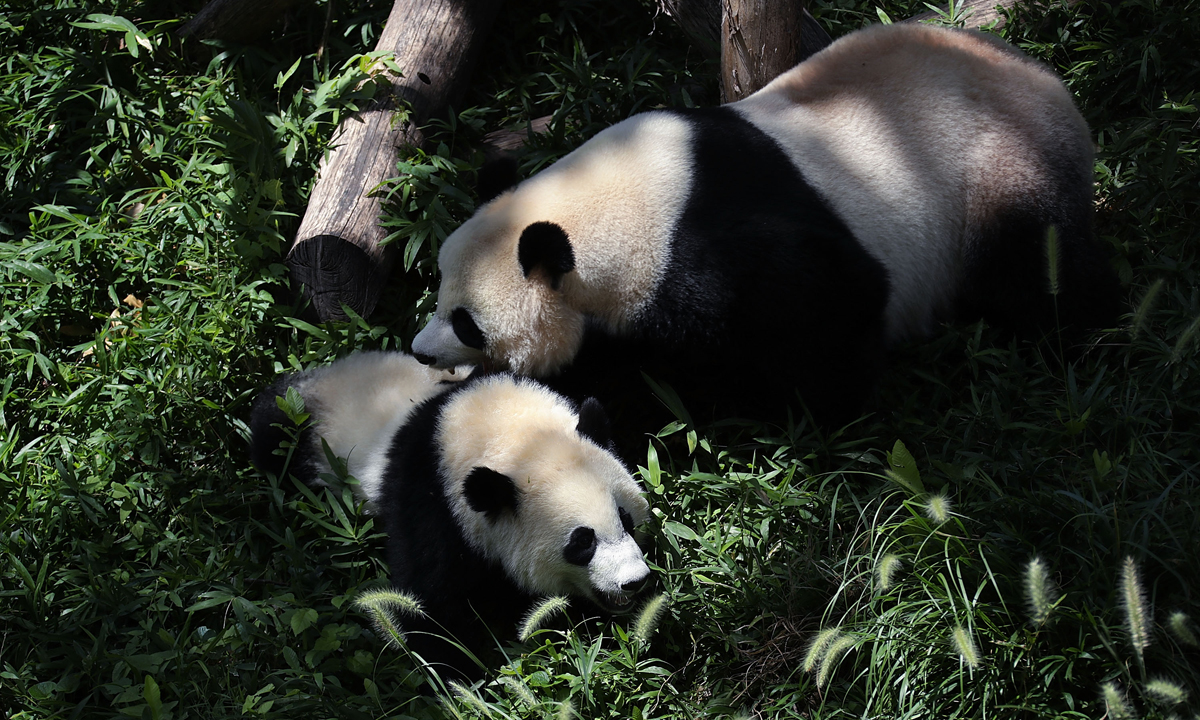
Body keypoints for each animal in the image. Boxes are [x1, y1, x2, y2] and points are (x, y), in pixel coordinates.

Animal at [250, 351, 652, 677]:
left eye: (626, 519)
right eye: (582, 543)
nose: (634, 581)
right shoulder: (431, 501)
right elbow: (431, 602)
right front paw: (462, 681)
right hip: (304, 431)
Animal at [409, 24, 1120, 425]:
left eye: (467, 322)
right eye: (437, 289)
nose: (420, 350)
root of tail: (1056, 89)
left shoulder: (716, 259)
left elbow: (836, 309)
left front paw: (796, 410)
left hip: (999, 172)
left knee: (1042, 272)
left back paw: (1075, 340)